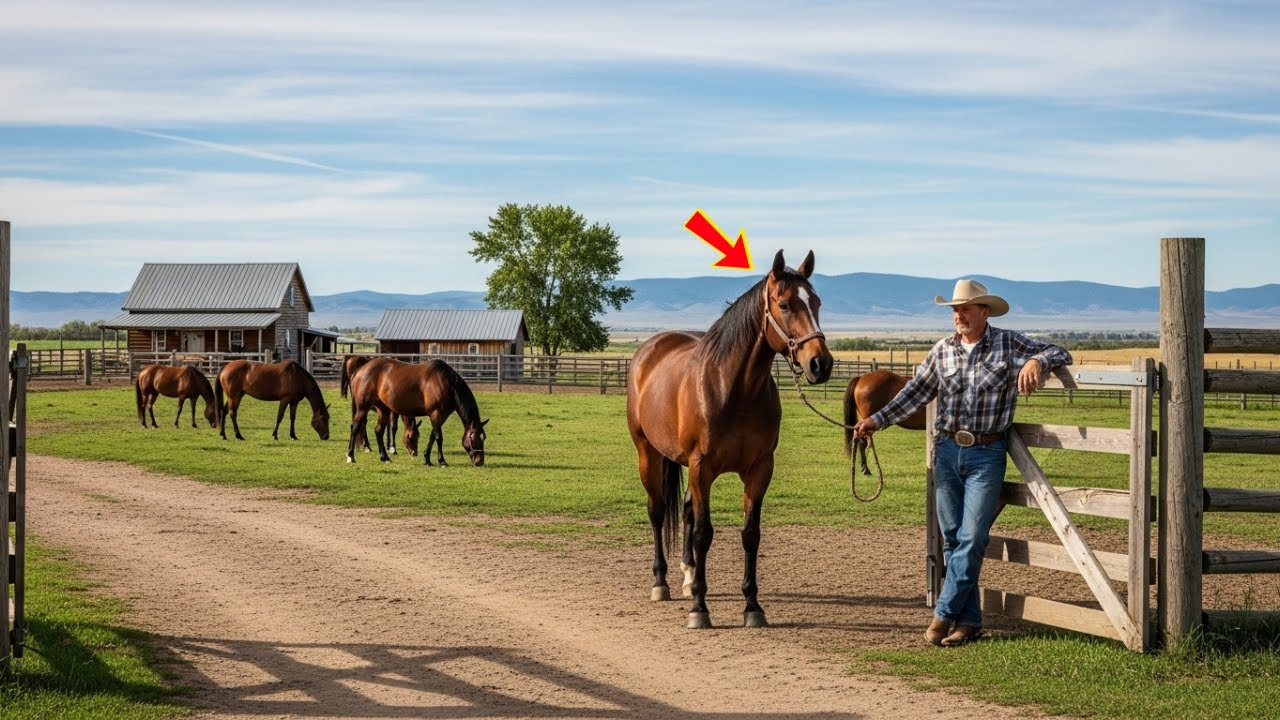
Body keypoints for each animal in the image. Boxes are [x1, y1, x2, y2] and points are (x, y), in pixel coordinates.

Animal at [346, 357, 487, 466]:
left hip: (383, 409)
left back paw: (385, 457)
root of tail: (360, 370)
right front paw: (441, 461)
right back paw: (350, 456)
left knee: (378, 431)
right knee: (355, 427)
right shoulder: (435, 414)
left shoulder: (441, 416)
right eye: (473, 438)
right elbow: (439, 437)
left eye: (483, 437)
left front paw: (427, 459)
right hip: (363, 407)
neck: (446, 383)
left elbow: (432, 436)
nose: (480, 461)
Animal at [626, 249, 833, 629]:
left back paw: (689, 576)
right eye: (784, 304)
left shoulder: (759, 469)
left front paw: (752, 606)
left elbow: (750, 534)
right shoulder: (702, 468)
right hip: (649, 454)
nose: (820, 364)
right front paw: (699, 609)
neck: (732, 389)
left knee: (687, 512)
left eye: (816, 302)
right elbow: (703, 534)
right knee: (658, 511)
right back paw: (661, 582)